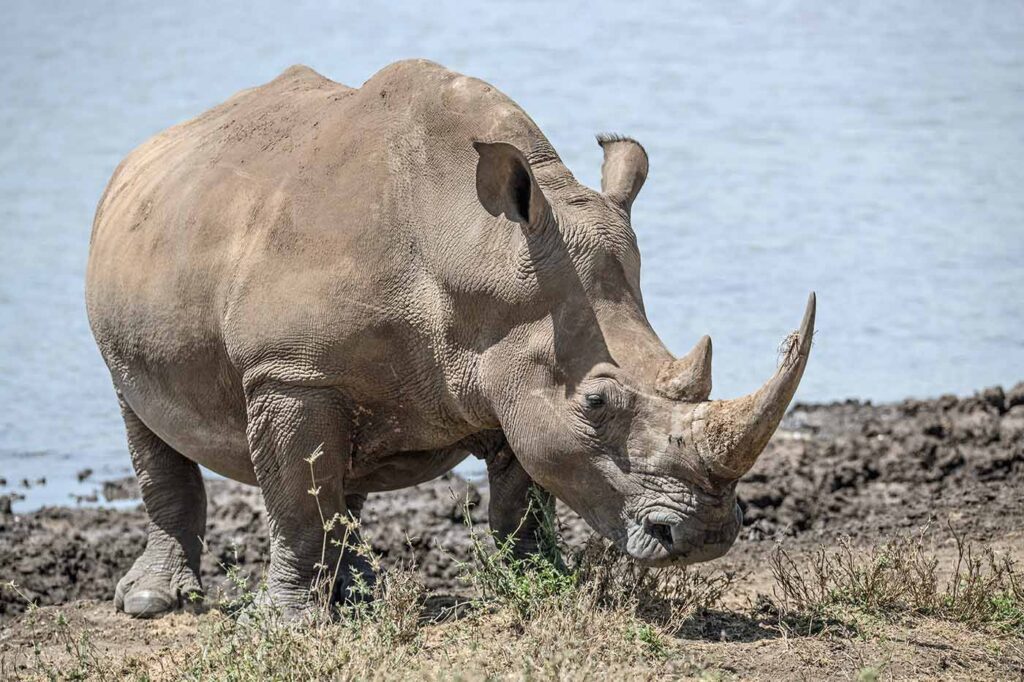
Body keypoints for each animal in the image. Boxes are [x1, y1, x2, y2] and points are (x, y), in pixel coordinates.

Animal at [85, 60, 814, 618]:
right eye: (597, 403)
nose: (706, 535)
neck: (471, 246)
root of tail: (140, 154)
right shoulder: (288, 371)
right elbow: (296, 500)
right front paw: (283, 623)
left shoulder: (514, 360)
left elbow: (525, 495)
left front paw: (541, 585)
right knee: (143, 417)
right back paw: (154, 604)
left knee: (347, 462)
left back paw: (360, 596)